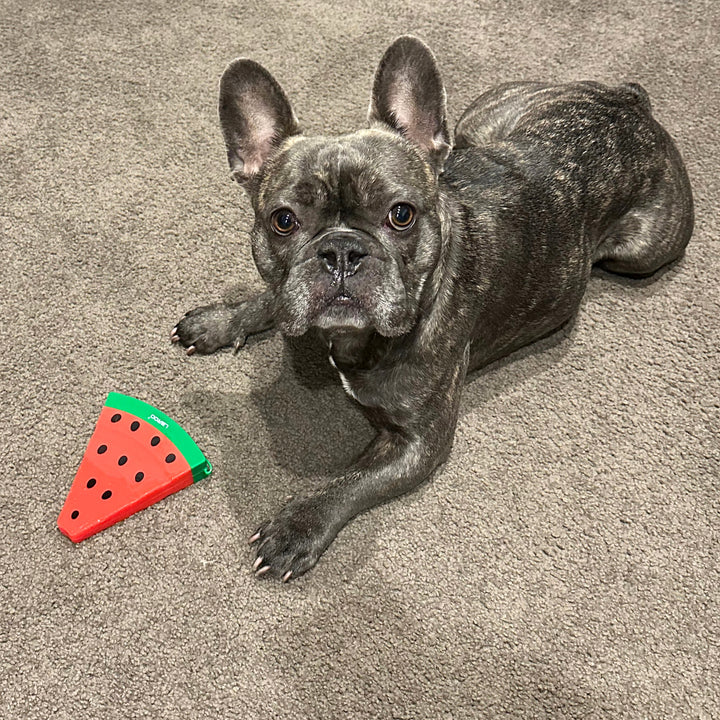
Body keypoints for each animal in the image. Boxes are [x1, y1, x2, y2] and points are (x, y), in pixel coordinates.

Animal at [170, 36, 692, 584]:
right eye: (283, 221)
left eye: (401, 214)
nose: (341, 250)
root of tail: (625, 102)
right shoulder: (290, 290)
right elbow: (272, 295)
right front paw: (219, 320)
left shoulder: (418, 444)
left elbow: (349, 480)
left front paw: (296, 528)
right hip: (477, 123)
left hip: (644, 251)